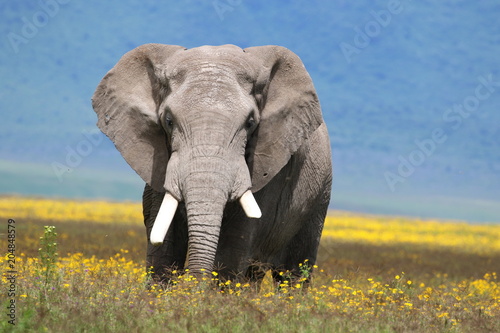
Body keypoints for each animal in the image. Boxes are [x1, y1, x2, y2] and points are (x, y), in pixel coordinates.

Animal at [92, 42, 332, 284]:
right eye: (168, 121)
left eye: (250, 123)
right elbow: (164, 251)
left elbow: (232, 250)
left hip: (319, 198)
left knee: (294, 272)